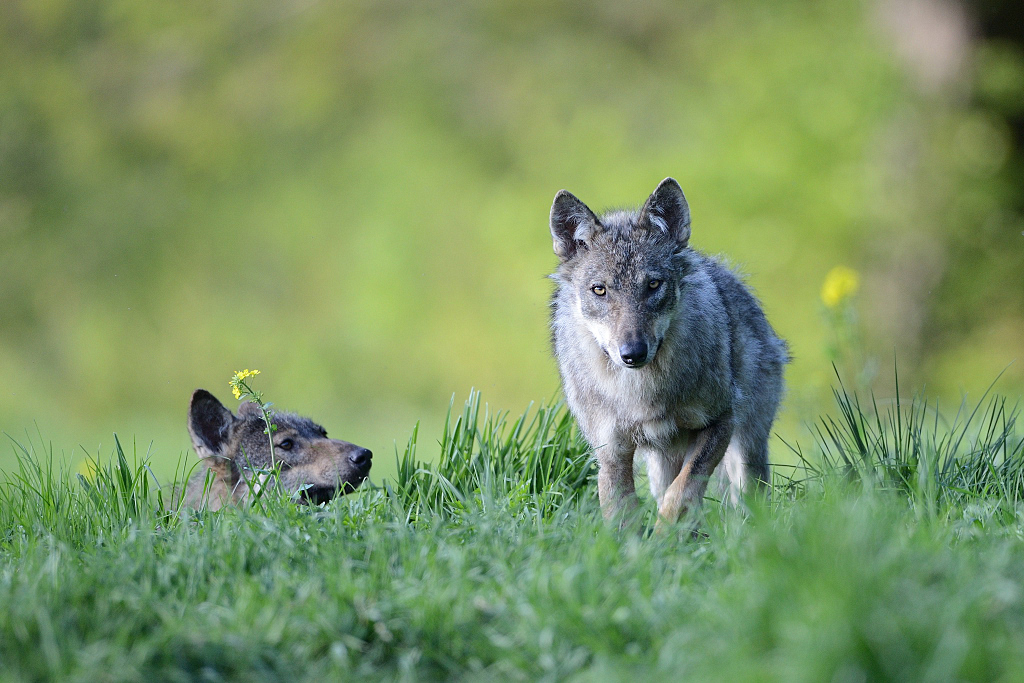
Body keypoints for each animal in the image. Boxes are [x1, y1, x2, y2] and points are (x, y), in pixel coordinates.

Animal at [548, 179, 786, 532]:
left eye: (653, 284)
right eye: (600, 290)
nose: (632, 353)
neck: (642, 392)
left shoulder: (719, 422)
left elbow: (680, 495)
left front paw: (665, 538)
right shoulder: (611, 451)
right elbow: (623, 517)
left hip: (746, 449)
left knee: (745, 498)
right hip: (661, 462)